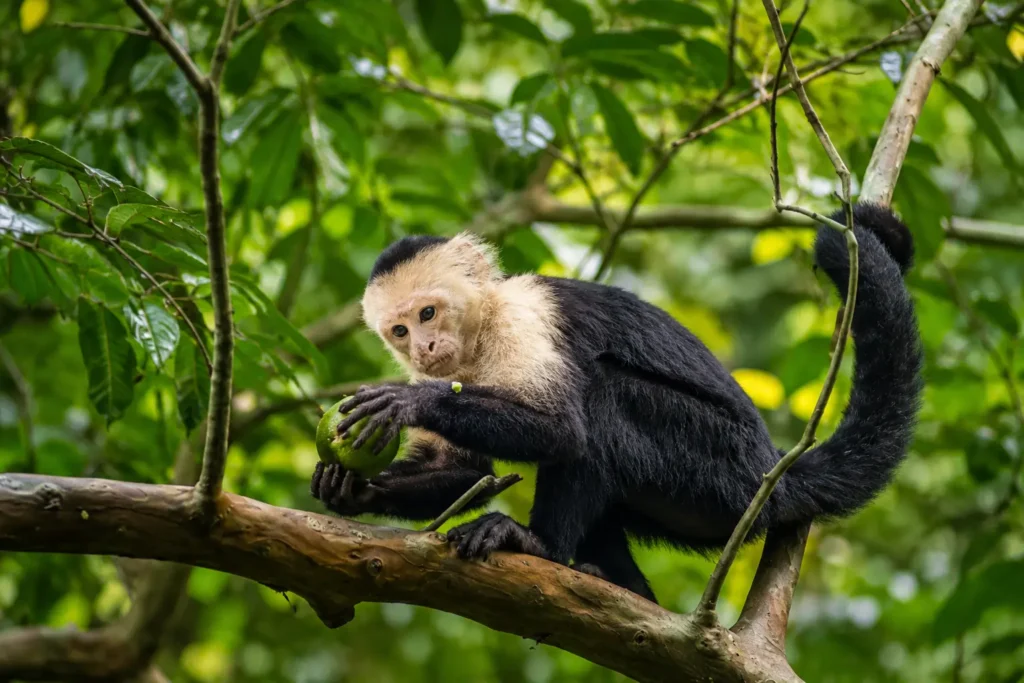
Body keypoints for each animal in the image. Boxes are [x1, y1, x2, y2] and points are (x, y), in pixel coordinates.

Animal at [310, 203, 923, 603]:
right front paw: (351, 488)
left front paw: (410, 401)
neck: (480, 337)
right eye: (399, 331)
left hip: (721, 469)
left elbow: (562, 431)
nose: (426, 348)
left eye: (429, 313)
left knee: (602, 399)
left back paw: (541, 546)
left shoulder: (526, 319)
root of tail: (773, 469)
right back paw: (623, 588)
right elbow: (462, 471)